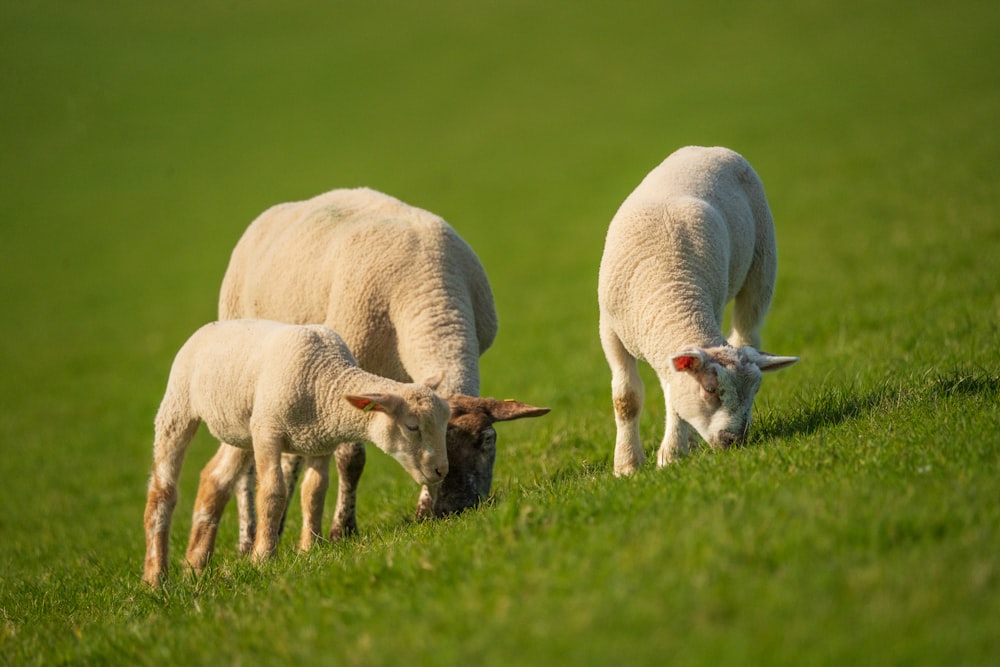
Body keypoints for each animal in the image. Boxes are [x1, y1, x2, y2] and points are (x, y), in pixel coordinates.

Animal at [143, 320, 452, 588]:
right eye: (412, 426)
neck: (325, 380)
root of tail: (211, 325)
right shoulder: (267, 431)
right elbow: (273, 492)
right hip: (178, 405)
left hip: (240, 430)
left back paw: (194, 565)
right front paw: (263, 557)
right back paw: (155, 578)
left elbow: (314, 491)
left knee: (214, 479)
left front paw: (309, 547)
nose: (442, 470)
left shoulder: (320, 441)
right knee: (163, 490)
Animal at [195, 185, 552, 556]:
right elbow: (351, 458)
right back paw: (247, 539)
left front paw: (423, 510)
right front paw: (342, 530)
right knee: (248, 464)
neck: (431, 295)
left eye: (487, 440)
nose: (459, 507)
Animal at [596, 146, 800, 474]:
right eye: (710, 389)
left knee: (747, 333)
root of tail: (709, 149)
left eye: (756, 391)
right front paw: (627, 466)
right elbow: (626, 398)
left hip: (762, 266)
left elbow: (673, 400)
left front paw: (672, 455)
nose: (734, 441)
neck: (670, 288)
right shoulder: (611, 332)